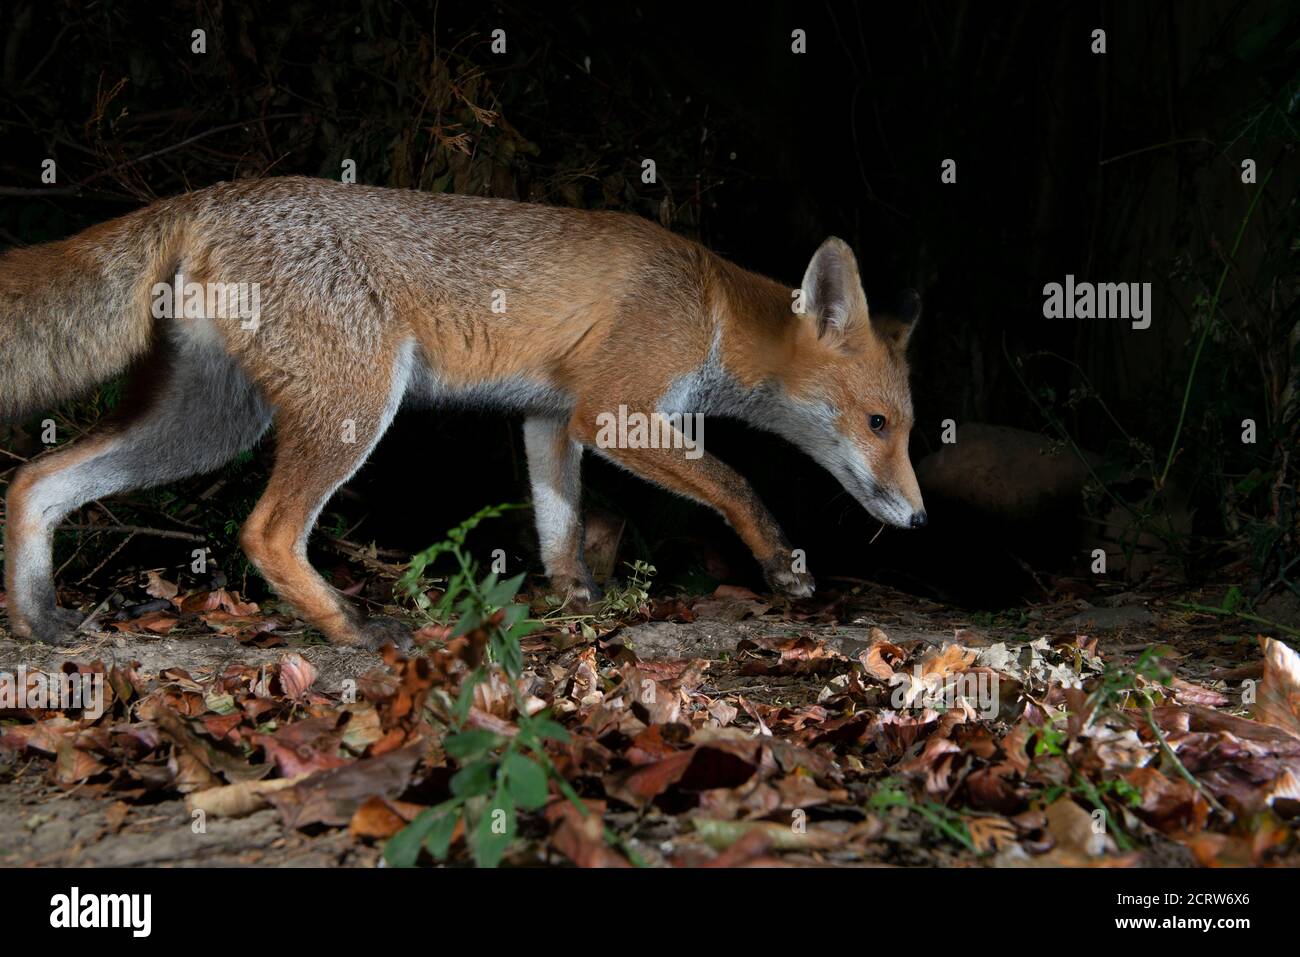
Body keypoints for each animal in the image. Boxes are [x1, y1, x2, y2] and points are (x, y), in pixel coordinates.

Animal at [5, 174, 930, 647]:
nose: (920, 521)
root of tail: (215, 192)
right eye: (879, 425)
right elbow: (736, 481)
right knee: (265, 529)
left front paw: (577, 603)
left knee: (35, 481)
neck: (710, 309)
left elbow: (563, 529)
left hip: (206, 426)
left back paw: (40, 619)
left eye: (909, 428)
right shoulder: (612, 411)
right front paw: (783, 565)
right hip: (352, 405)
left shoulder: (550, 420)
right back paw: (350, 626)